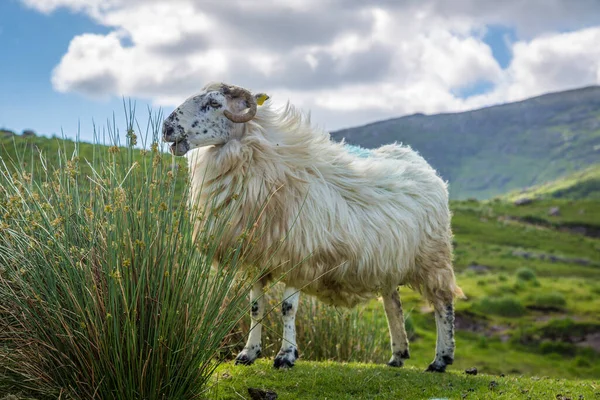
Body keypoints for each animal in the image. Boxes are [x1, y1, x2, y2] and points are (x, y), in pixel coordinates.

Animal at [163, 81, 464, 372]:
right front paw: (248, 353)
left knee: (443, 304)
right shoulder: (257, 258)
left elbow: (287, 308)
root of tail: (421, 163)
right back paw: (398, 356)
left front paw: (285, 356)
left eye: (214, 103)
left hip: (432, 257)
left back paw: (441, 359)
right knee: (393, 304)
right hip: (390, 261)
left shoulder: (298, 256)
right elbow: (255, 308)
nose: (166, 129)